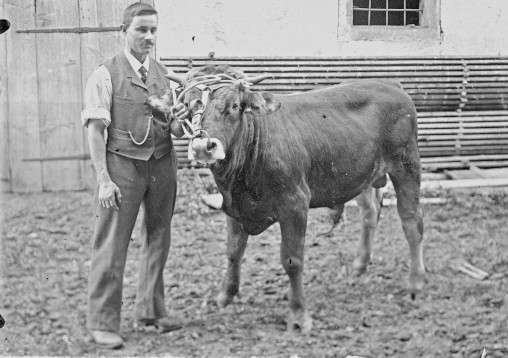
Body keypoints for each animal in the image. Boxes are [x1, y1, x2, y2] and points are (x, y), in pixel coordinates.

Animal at [147, 65, 424, 332]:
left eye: (235, 105)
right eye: (187, 105)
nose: (203, 147)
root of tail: (389, 83)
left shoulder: (295, 205)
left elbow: (292, 261)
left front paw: (299, 314)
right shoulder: (234, 208)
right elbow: (234, 252)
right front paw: (225, 296)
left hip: (406, 166)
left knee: (411, 222)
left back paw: (415, 283)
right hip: (361, 175)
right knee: (370, 213)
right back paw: (359, 266)